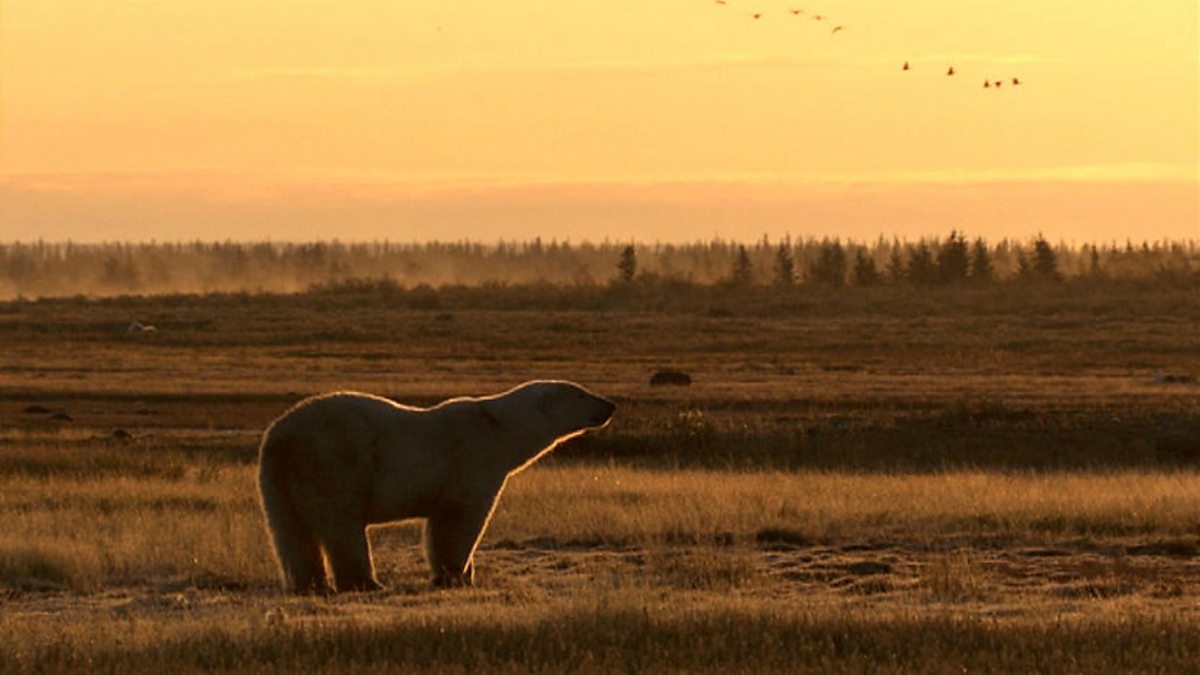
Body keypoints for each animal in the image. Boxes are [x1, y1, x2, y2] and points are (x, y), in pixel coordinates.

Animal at [257, 380, 616, 594]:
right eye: (582, 393)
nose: (610, 404)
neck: (499, 428)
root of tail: (280, 437)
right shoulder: (472, 463)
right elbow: (458, 523)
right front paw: (454, 576)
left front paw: (467, 574)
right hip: (334, 462)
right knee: (342, 526)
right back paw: (367, 583)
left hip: (277, 479)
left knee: (288, 531)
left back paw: (309, 586)